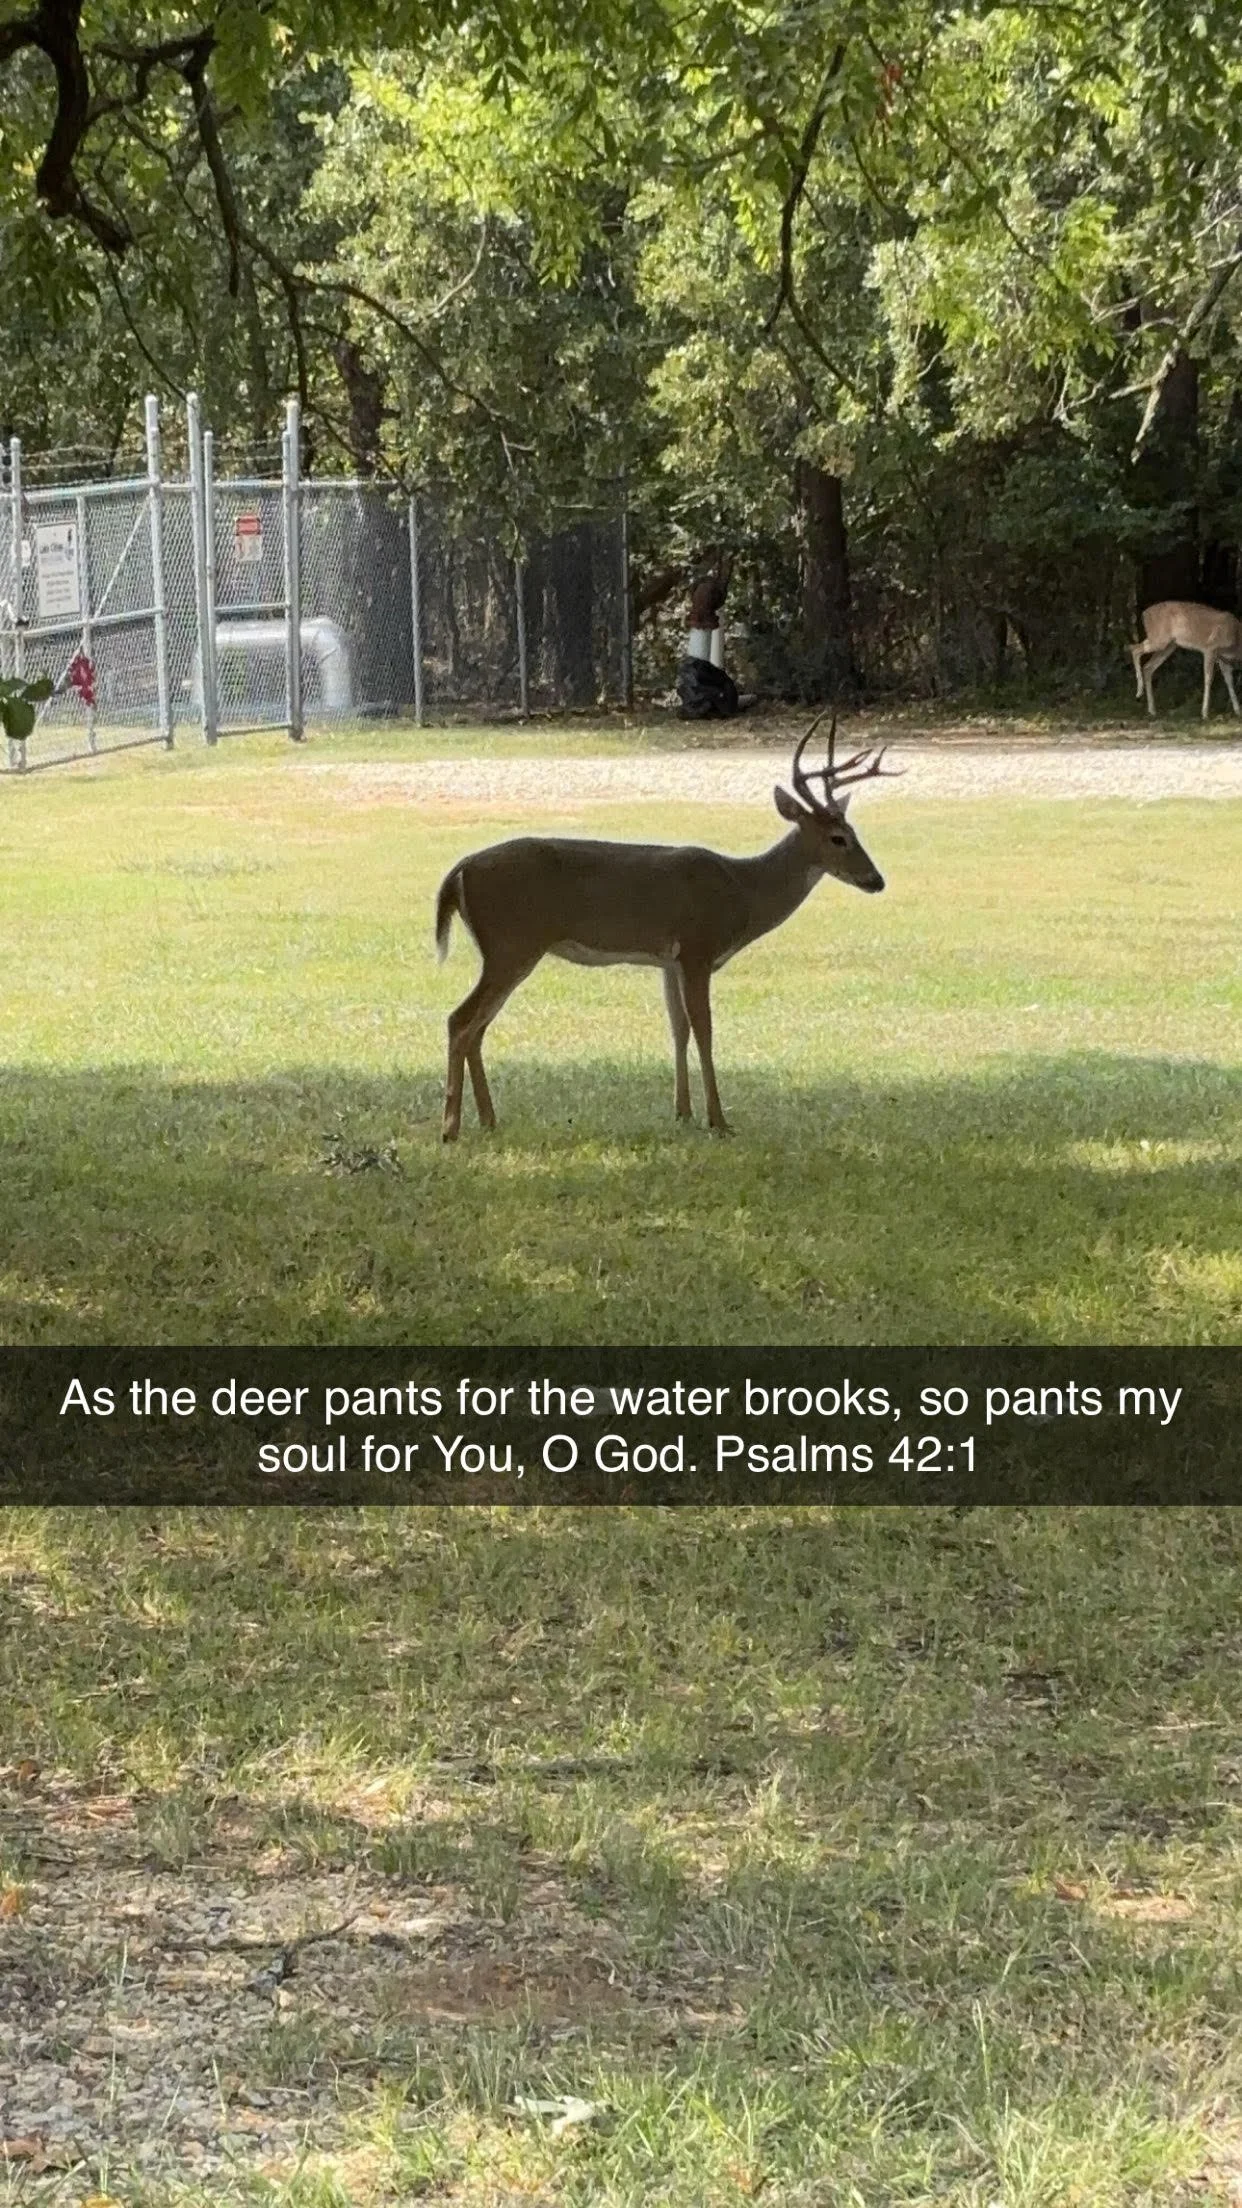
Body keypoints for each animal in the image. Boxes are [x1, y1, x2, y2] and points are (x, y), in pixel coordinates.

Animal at [434, 717, 896, 1141]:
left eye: (854, 831)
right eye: (838, 838)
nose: (877, 880)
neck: (743, 890)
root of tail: (459, 871)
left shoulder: (669, 962)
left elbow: (679, 1028)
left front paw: (683, 1113)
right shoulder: (697, 948)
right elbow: (705, 1029)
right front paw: (718, 1120)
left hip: (507, 949)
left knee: (478, 1027)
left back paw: (489, 1120)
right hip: (511, 944)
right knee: (460, 1020)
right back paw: (451, 1127)